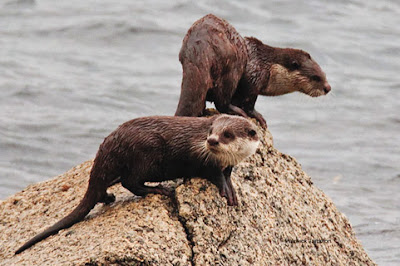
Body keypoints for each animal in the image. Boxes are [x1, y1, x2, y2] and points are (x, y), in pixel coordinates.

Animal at [14, 114, 260, 254]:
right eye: (211, 131)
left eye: (227, 134)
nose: (211, 141)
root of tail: (110, 144)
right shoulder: (201, 158)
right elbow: (214, 175)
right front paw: (226, 191)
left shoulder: (229, 164)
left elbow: (227, 174)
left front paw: (232, 187)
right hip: (146, 152)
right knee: (130, 181)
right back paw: (159, 189)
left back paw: (109, 197)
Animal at [175, 13, 332, 128]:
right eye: (316, 77)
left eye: (324, 74)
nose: (328, 88)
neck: (268, 66)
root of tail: (198, 46)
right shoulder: (254, 77)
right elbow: (248, 102)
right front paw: (258, 116)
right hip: (233, 66)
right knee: (222, 100)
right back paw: (237, 112)